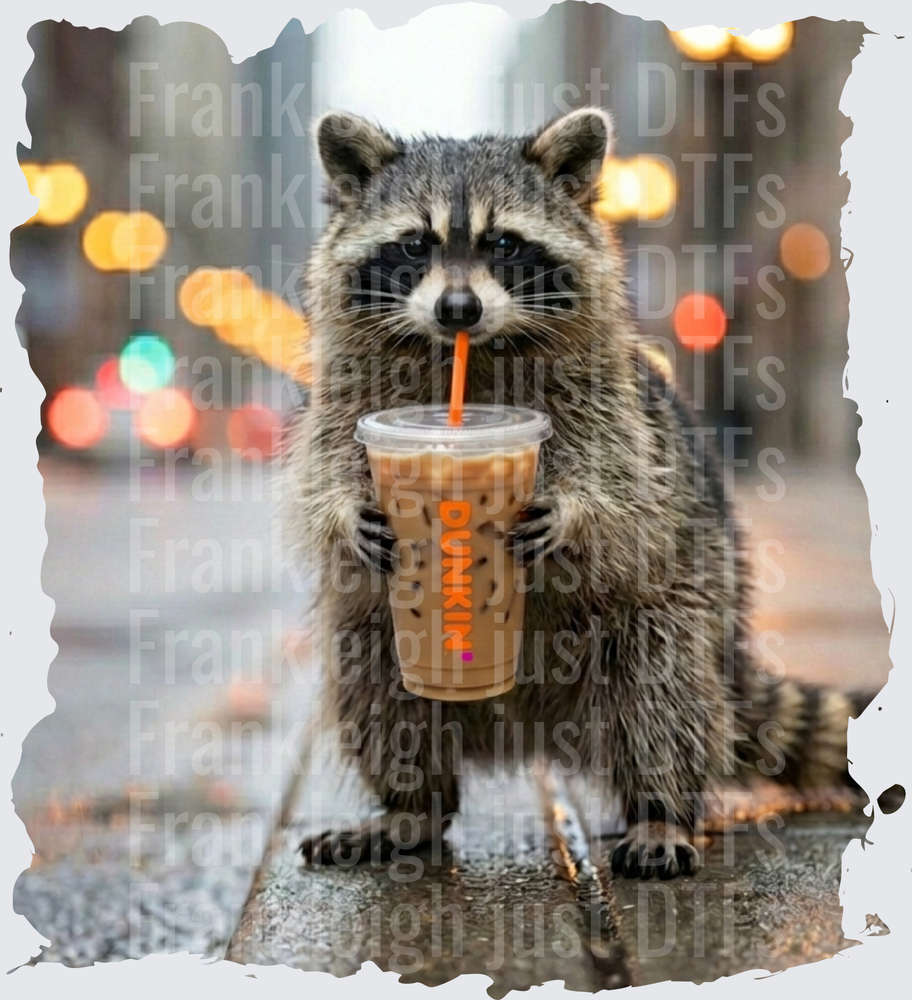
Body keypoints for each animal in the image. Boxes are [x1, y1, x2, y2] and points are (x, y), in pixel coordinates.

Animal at [286, 107, 868, 879]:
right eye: (415, 243)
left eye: (504, 243)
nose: (457, 309)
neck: (467, 355)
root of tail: (527, 729)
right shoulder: (344, 393)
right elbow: (320, 473)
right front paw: (347, 514)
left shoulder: (614, 403)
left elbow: (623, 486)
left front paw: (573, 517)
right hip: (379, 634)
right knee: (375, 684)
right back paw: (412, 806)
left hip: (688, 601)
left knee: (662, 687)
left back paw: (659, 809)